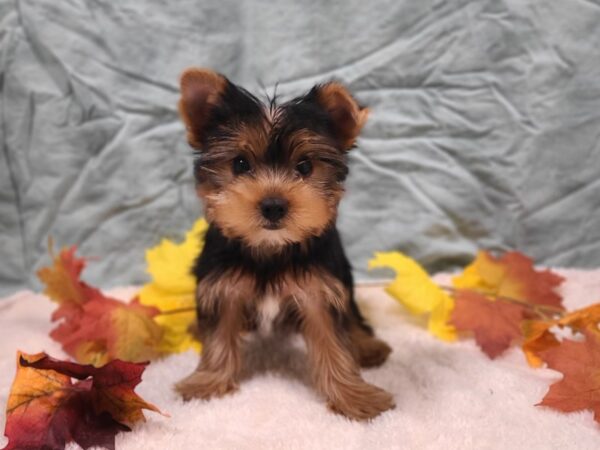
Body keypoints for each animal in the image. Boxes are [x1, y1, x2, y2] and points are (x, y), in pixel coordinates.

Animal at [176, 68, 396, 420]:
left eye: (305, 166)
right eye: (240, 164)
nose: (273, 205)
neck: (271, 248)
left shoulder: (319, 289)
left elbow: (334, 342)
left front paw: (355, 397)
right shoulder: (223, 286)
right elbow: (220, 335)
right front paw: (207, 382)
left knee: (352, 313)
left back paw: (367, 345)